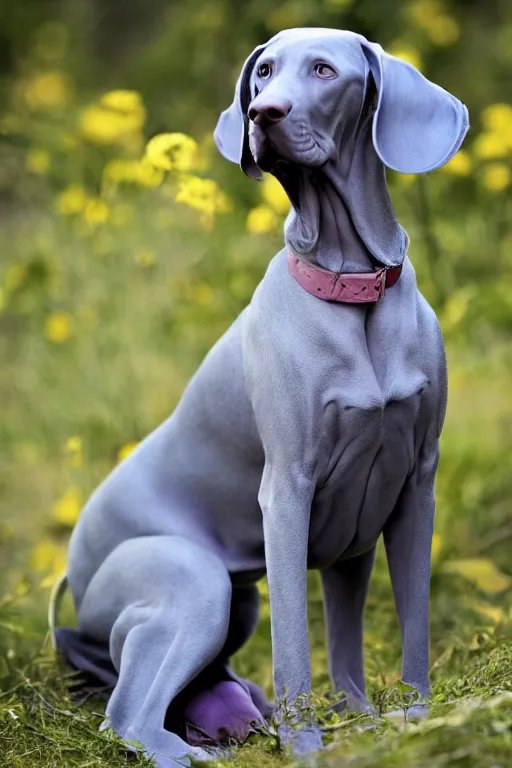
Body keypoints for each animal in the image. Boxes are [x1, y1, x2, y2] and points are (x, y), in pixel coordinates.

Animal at [51, 27, 468, 768]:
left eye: (324, 70)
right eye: (264, 72)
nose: (261, 114)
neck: (351, 290)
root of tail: (72, 567)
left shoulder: (409, 489)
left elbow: (396, 629)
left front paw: (397, 720)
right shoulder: (290, 492)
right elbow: (297, 643)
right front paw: (305, 743)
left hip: (231, 604)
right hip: (196, 580)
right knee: (127, 718)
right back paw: (203, 748)